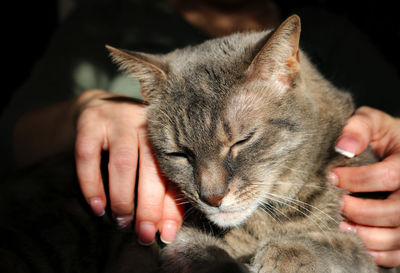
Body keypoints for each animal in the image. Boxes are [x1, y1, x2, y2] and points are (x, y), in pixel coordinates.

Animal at [106, 15, 382, 272]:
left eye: (242, 141)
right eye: (180, 154)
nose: (212, 198)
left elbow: (346, 247)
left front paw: (287, 252)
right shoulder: (184, 239)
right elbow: (203, 254)